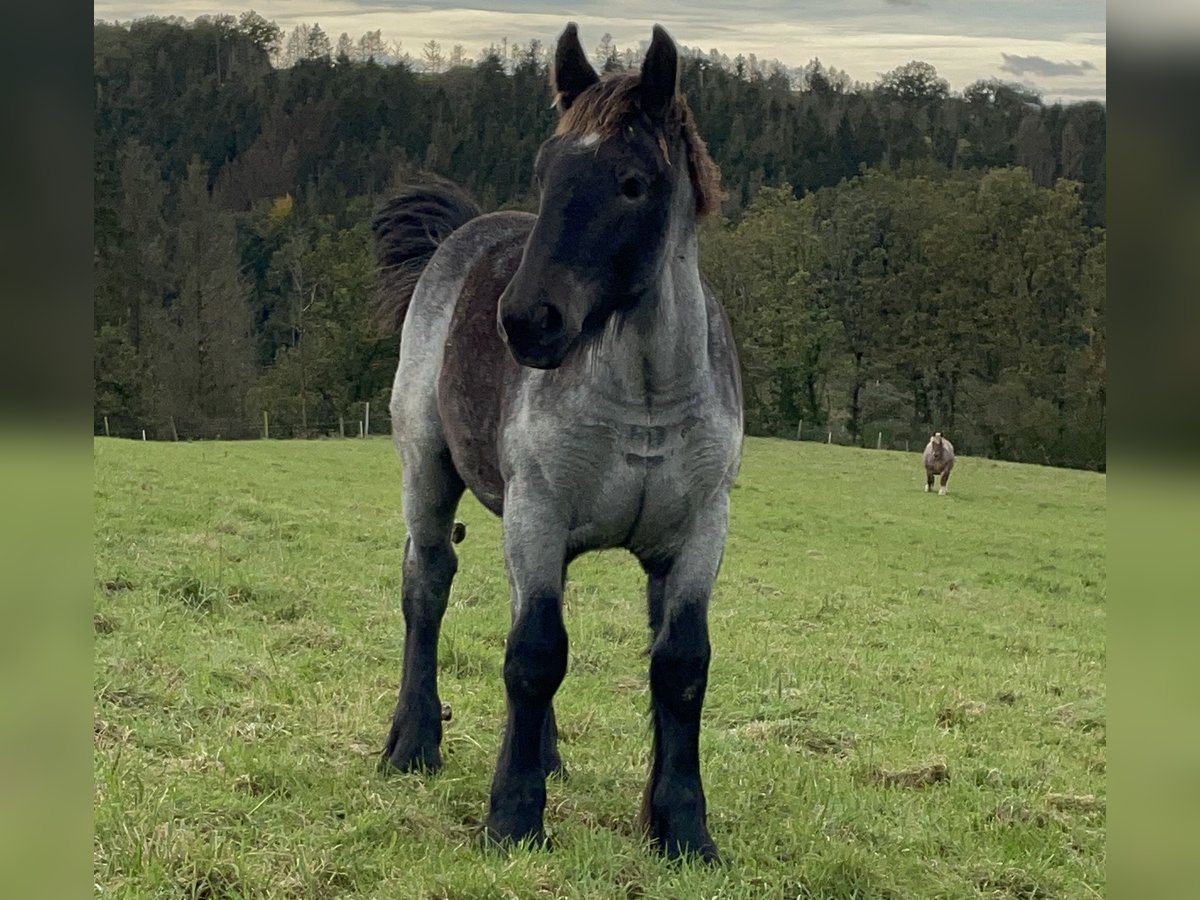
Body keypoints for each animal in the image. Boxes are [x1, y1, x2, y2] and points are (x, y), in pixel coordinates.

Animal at [369, 22, 739, 868]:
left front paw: (682, 828)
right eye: (546, 173)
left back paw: (546, 753)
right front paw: (512, 818)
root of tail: (461, 235)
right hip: (428, 473)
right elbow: (534, 655)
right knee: (427, 582)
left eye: (632, 182)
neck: (645, 399)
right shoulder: (535, 514)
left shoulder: (700, 533)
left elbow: (681, 667)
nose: (528, 320)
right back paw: (413, 742)